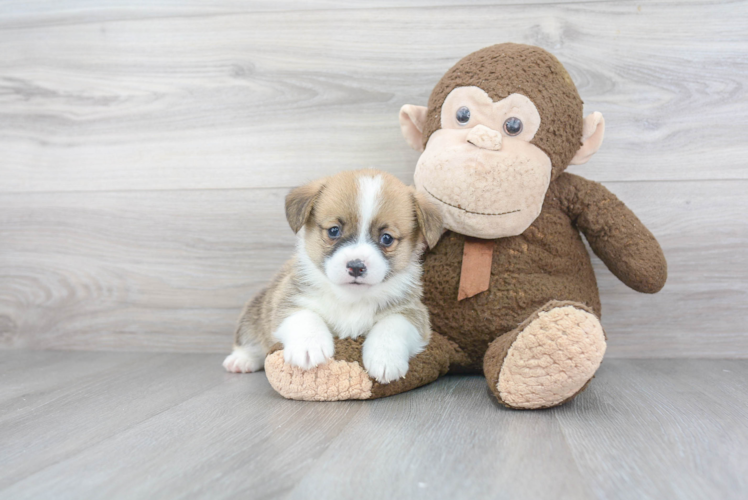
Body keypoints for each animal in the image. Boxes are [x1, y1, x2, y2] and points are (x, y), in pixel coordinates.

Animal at [225, 168, 442, 382]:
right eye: (334, 231)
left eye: (387, 238)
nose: (356, 267)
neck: (351, 299)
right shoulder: (287, 300)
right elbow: (304, 315)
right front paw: (309, 346)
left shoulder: (414, 312)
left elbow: (393, 325)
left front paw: (385, 358)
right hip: (255, 313)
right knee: (250, 338)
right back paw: (241, 360)